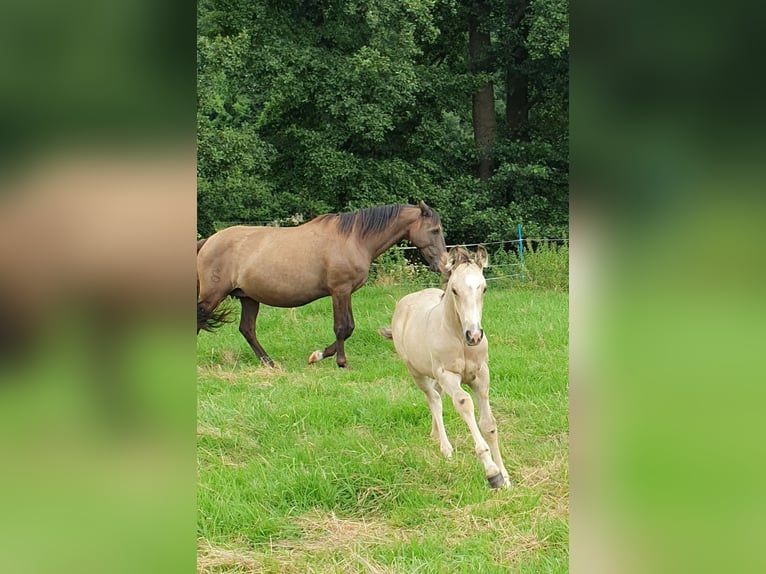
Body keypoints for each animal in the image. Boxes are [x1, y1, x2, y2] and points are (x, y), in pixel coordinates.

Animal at [196, 205, 450, 372]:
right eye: (435, 230)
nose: (444, 266)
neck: (354, 239)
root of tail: (207, 241)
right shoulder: (340, 290)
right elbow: (342, 328)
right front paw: (338, 361)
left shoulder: (345, 292)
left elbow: (349, 328)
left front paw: (319, 356)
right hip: (213, 296)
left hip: (249, 298)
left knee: (247, 329)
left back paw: (270, 363)